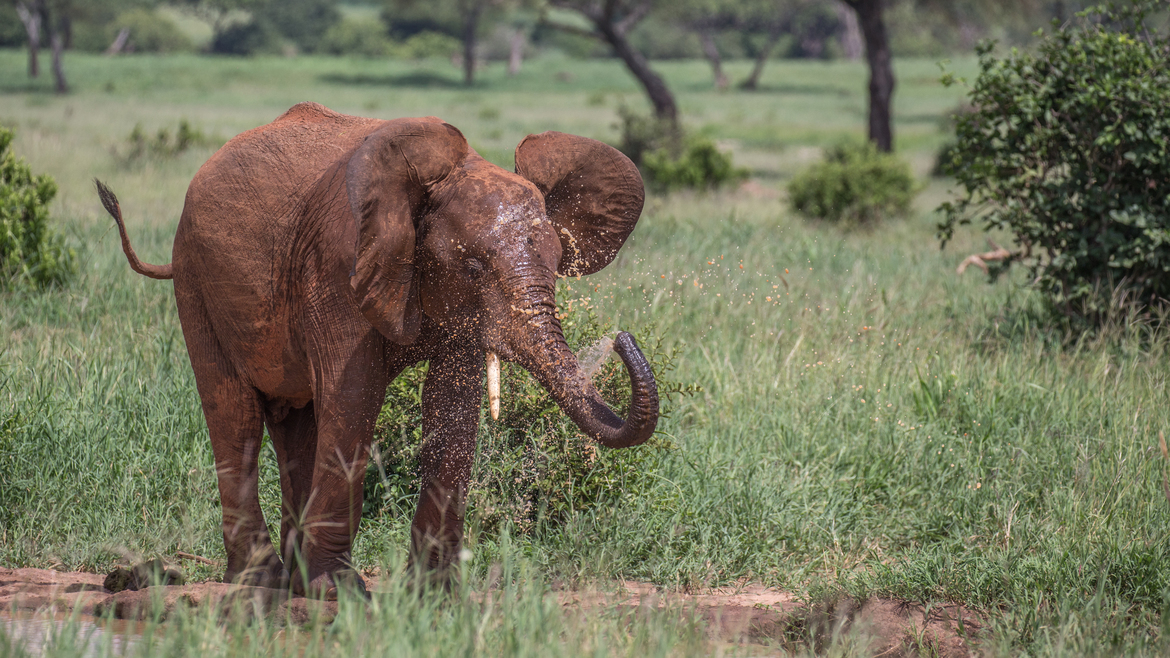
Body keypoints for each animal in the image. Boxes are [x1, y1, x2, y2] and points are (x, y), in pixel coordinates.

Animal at [96, 102, 658, 599]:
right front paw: (338, 593)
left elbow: (452, 408)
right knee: (234, 413)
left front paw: (434, 595)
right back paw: (262, 581)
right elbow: (354, 397)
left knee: (296, 422)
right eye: (474, 267)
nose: (623, 340)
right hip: (196, 278)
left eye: (557, 261)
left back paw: (292, 580)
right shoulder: (338, 267)